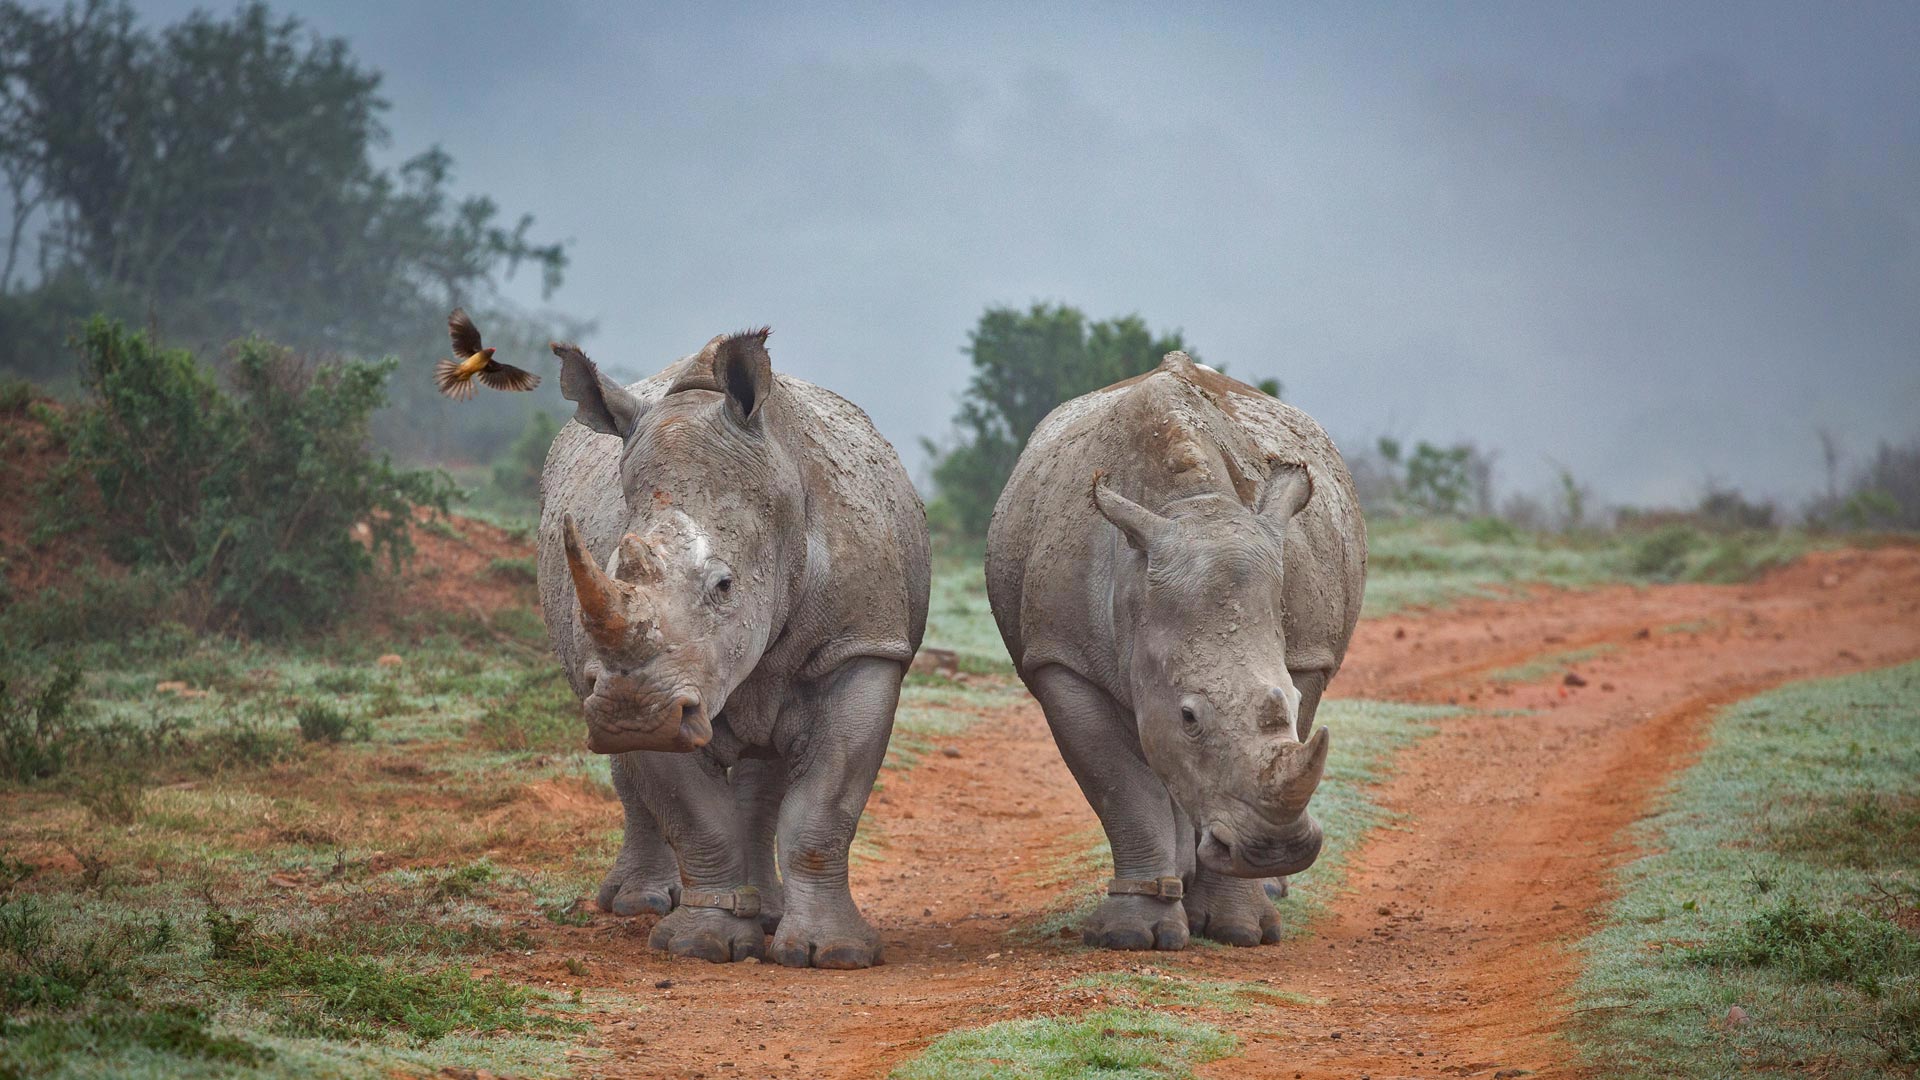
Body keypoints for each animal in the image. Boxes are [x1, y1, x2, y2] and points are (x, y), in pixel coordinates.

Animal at [537, 329, 929, 968]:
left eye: (724, 586)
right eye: (614, 568)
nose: (631, 713)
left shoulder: (861, 646)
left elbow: (825, 805)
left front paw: (833, 954)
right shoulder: (652, 687)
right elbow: (695, 815)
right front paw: (699, 944)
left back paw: (765, 913)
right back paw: (639, 904)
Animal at [985, 351, 1365, 950]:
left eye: (1285, 697)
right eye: (1188, 717)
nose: (1276, 849)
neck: (1194, 505)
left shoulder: (1307, 653)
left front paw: (1239, 928)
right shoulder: (1063, 658)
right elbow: (1120, 785)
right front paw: (1130, 934)